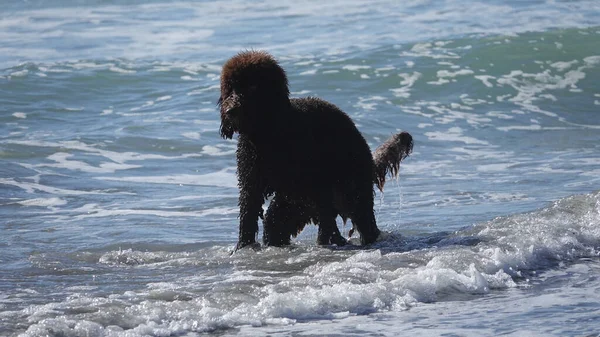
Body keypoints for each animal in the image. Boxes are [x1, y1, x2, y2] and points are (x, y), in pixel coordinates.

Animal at [220, 50, 412, 249]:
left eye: (252, 86)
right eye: (230, 88)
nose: (229, 111)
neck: (269, 133)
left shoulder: (316, 185)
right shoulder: (251, 183)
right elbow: (247, 214)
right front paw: (243, 248)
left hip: (351, 191)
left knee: (359, 222)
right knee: (276, 222)